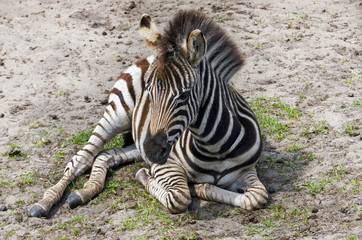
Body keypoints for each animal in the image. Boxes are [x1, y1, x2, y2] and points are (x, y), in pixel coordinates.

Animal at [29, 9, 268, 218]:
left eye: (184, 95)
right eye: (149, 92)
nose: (153, 150)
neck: (214, 148)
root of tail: (147, 56)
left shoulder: (247, 171)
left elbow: (257, 197)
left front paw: (202, 187)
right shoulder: (167, 165)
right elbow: (179, 197)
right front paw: (148, 176)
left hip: (140, 141)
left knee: (105, 155)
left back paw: (84, 191)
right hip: (117, 114)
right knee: (81, 159)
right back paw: (44, 203)